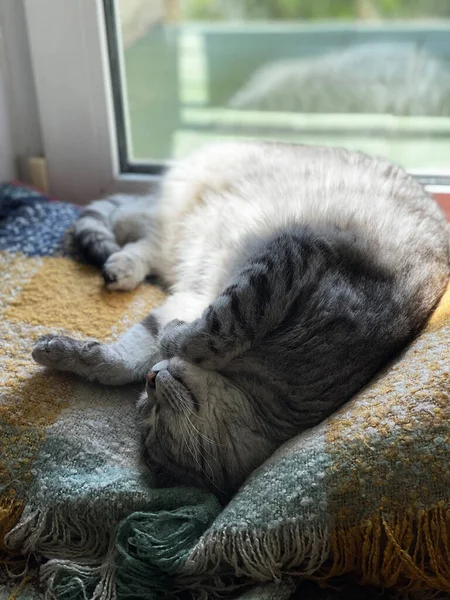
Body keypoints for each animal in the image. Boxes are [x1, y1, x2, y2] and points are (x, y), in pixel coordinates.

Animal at [31, 142, 450, 502]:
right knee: (135, 228)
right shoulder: (251, 276)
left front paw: (172, 338)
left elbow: (215, 328)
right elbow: (131, 355)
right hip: (175, 220)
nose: (150, 380)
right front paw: (62, 352)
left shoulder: (284, 261)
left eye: (150, 421)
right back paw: (120, 266)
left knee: (143, 235)